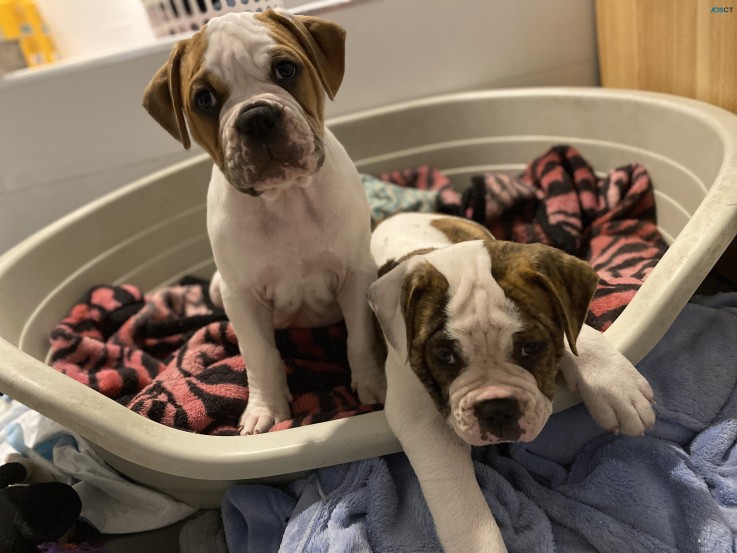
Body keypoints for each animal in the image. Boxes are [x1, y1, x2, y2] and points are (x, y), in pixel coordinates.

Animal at [142, 7, 386, 432]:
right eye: (204, 99)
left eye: (286, 69)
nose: (256, 117)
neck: (285, 199)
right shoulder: (241, 297)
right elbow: (260, 356)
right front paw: (267, 410)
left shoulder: (356, 275)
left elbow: (360, 338)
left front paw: (373, 387)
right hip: (216, 287)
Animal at [368, 212, 656, 552]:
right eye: (445, 357)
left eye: (530, 347)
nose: (497, 409)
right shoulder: (423, 424)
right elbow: (463, 506)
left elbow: (575, 333)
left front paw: (614, 384)